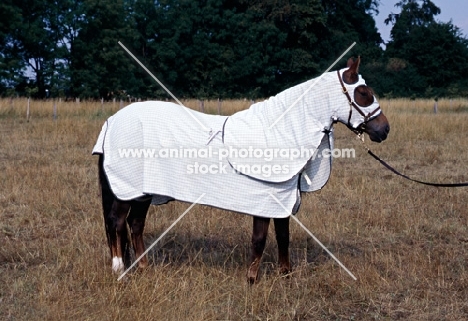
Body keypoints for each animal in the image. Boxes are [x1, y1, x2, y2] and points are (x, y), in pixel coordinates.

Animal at [93, 56, 390, 282]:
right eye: (364, 93)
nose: (383, 129)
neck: (279, 132)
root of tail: (112, 121)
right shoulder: (264, 199)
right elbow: (260, 239)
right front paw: (251, 279)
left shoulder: (280, 199)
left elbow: (283, 237)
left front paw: (285, 275)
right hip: (124, 190)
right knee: (116, 222)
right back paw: (119, 268)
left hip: (141, 193)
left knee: (135, 225)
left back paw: (143, 267)